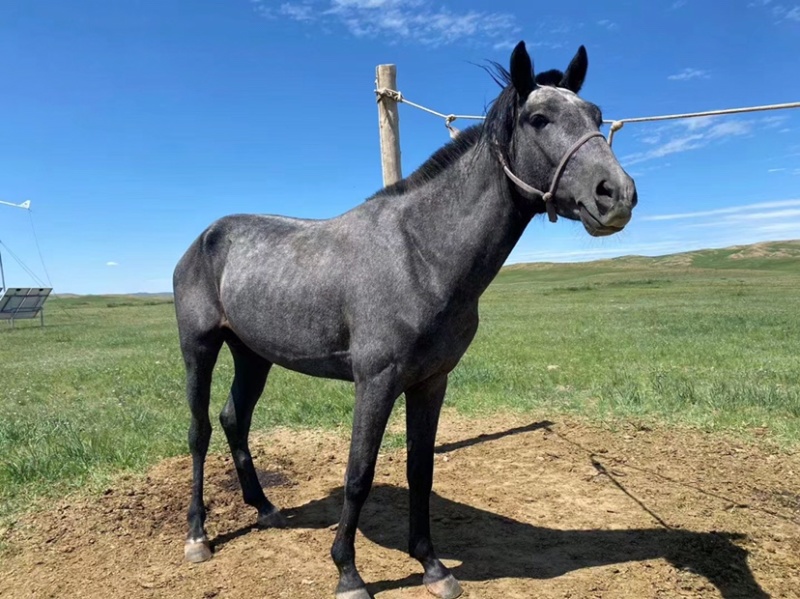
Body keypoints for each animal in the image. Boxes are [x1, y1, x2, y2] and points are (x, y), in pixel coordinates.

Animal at [172, 40, 637, 599]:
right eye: (539, 119)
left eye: (596, 116)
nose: (617, 194)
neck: (421, 253)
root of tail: (206, 237)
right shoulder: (375, 381)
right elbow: (358, 474)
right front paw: (348, 574)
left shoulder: (430, 382)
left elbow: (422, 469)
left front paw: (432, 566)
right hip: (200, 347)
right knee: (199, 430)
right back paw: (198, 536)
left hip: (253, 354)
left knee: (233, 420)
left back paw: (264, 508)